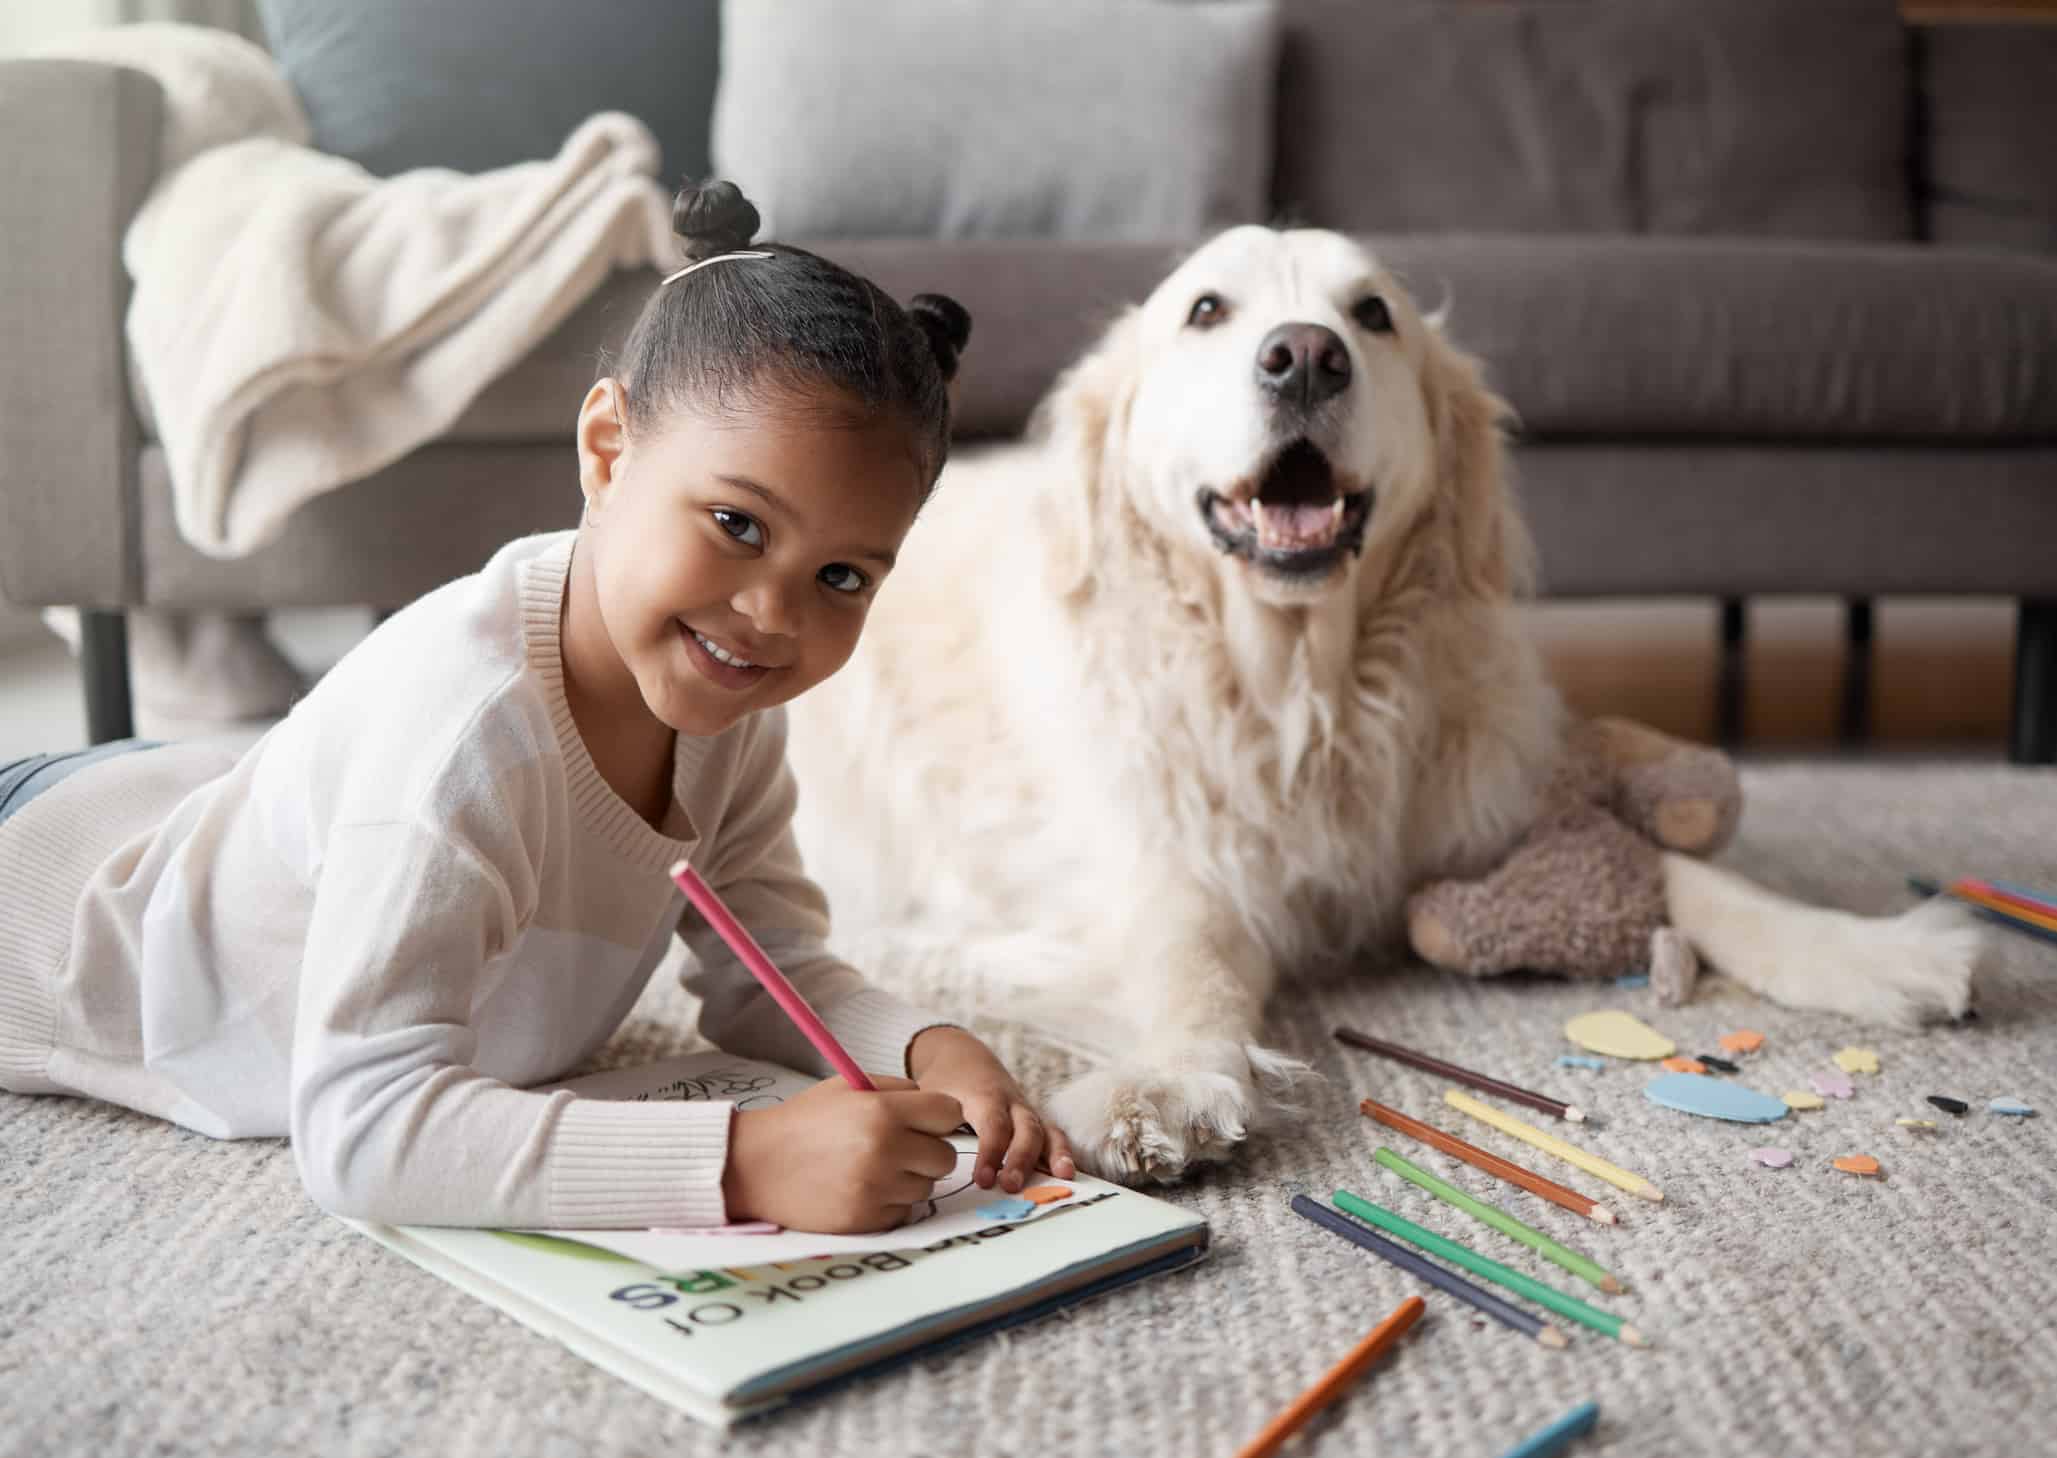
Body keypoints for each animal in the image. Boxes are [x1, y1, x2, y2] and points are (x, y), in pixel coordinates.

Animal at [781, 224, 1974, 1184]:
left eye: (1371, 314)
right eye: (1205, 311)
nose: (1304, 355)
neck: (1303, 689)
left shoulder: (1469, 807)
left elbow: (1693, 876)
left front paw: (1873, 950)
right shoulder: (1155, 859)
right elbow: (1187, 961)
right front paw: (1165, 1081)